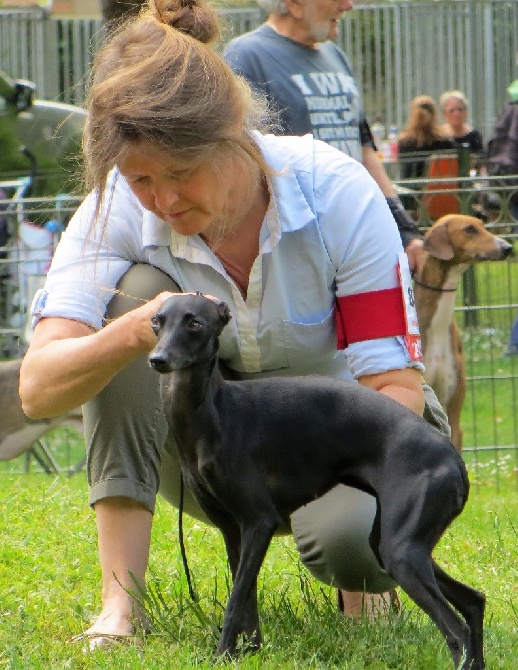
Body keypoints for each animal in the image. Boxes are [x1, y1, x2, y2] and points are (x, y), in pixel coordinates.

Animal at [149, 294, 488, 670]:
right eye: (156, 320)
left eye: (195, 323)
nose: (158, 359)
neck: (213, 412)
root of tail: (455, 461)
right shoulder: (232, 531)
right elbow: (245, 598)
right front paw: (247, 653)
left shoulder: (259, 521)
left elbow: (236, 601)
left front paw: (222, 655)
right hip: (396, 544)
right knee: (474, 601)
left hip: (402, 552)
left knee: (457, 631)